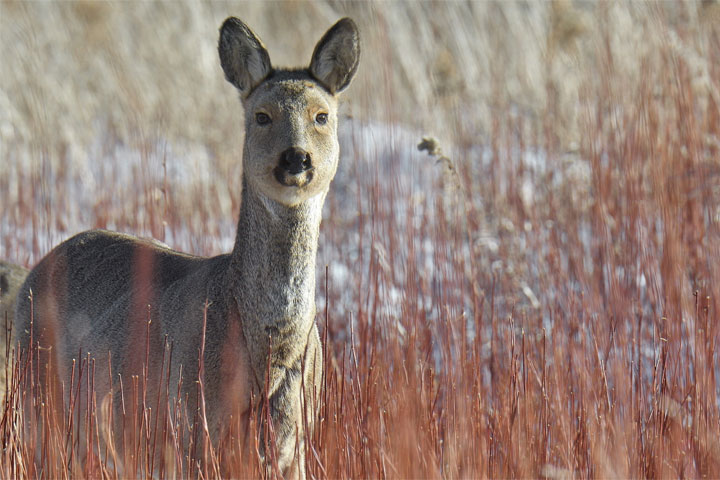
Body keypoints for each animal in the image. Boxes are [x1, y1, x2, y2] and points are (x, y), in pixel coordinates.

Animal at [16, 15, 362, 476]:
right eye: (262, 116)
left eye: (321, 115)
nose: (296, 158)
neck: (267, 353)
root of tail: (36, 269)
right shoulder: (192, 422)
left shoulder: (295, 438)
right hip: (36, 391)